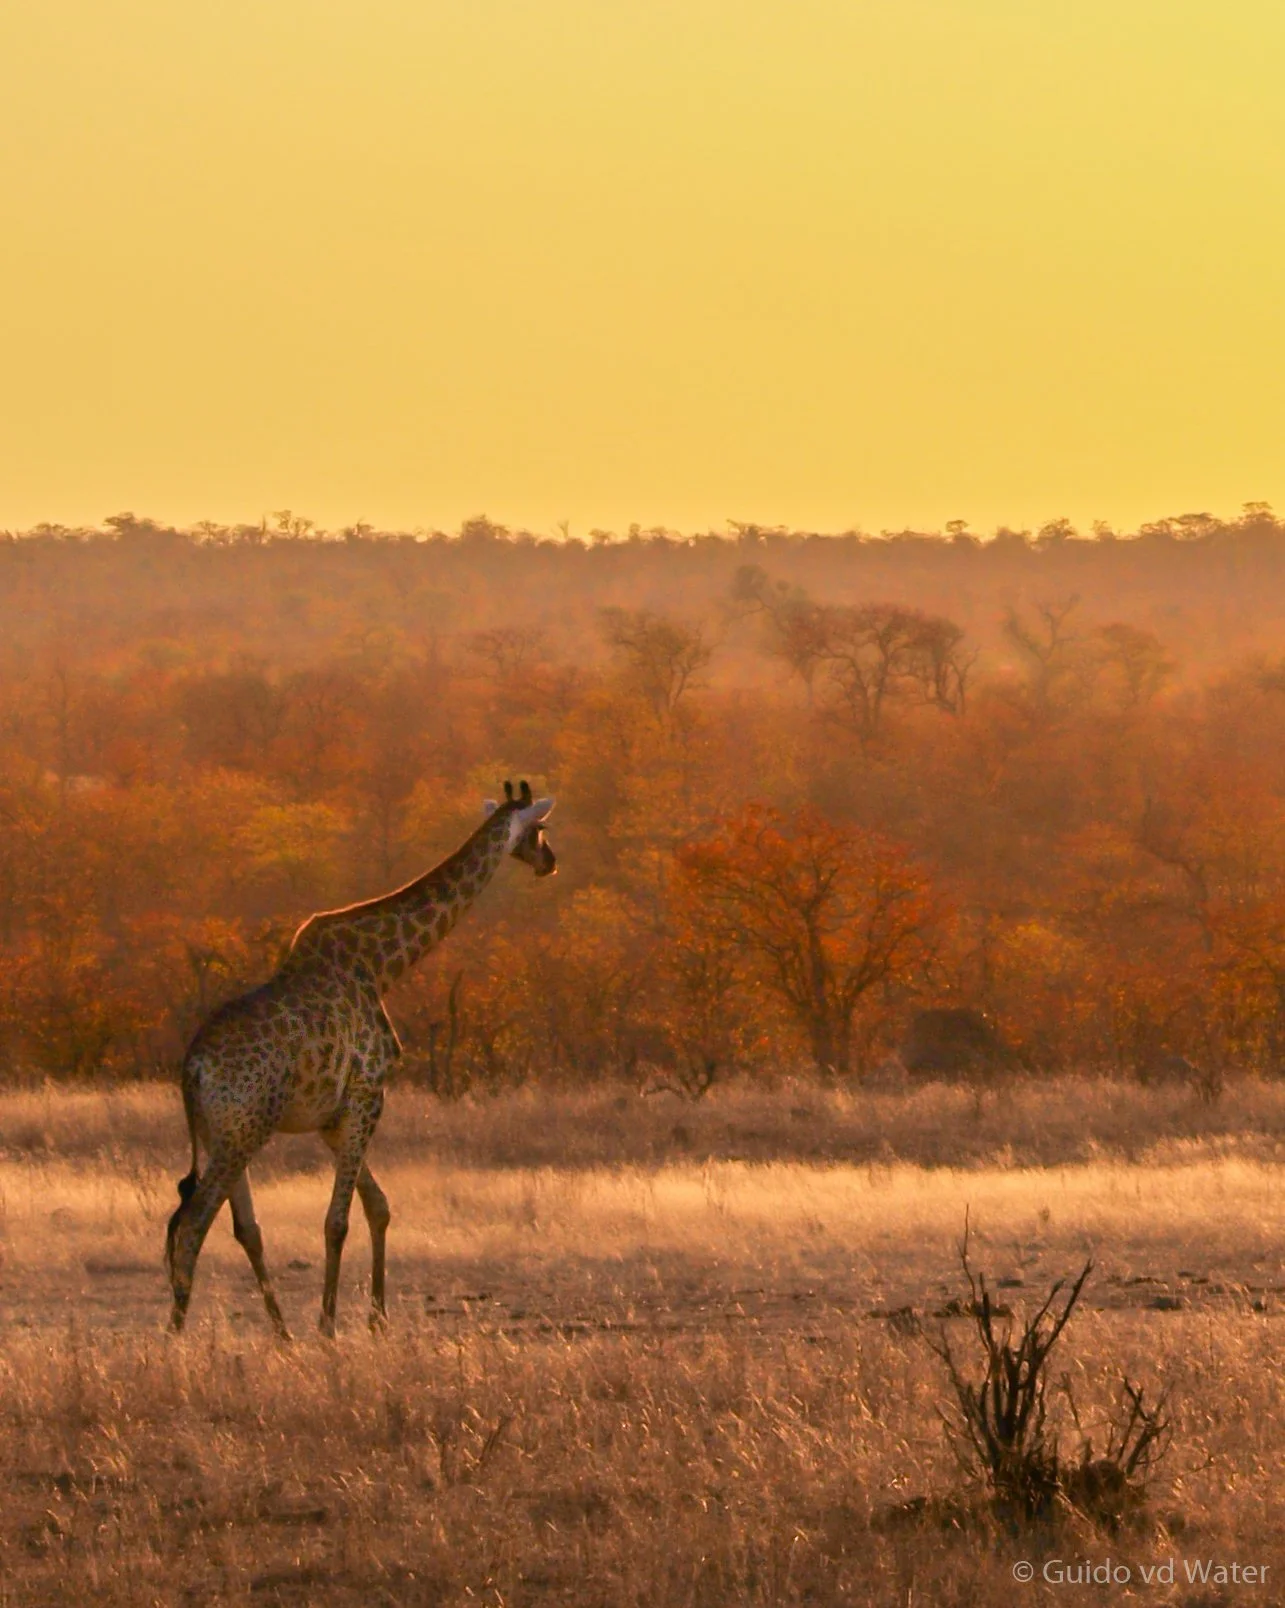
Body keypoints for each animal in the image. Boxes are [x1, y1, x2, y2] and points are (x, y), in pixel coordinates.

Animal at [165, 780, 556, 1338]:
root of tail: (191, 1070)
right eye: (541, 828)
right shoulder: (370, 1093)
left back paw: (281, 1334)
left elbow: (379, 1206)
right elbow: (338, 1220)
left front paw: (377, 1318)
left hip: (224, 1132)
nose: (550, 861)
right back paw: (177, 1336)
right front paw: (330, 1326)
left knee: (242, 1226)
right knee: (196, 1221)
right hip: (244, 1130)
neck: (381, 966)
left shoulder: (335, 1116)